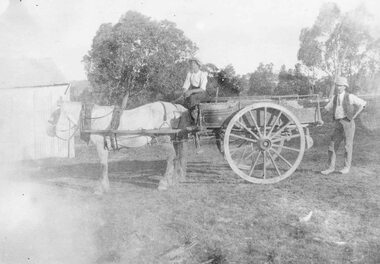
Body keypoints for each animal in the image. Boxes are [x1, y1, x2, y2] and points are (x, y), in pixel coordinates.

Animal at [46, 101, 189, 194]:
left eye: (55, 114)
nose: (48, 131)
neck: (94, 119)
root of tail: (174, 107)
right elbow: (105, 165)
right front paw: (105, 186)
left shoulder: (100, 146)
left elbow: (103, 165)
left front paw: (100, 188)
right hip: (175, 140)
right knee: (177, 157)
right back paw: (172, 181)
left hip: (164, 138)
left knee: (171, 157)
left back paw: (164, 183)